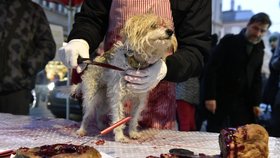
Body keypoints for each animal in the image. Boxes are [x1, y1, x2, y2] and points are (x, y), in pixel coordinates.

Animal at [74, 13, 178, 142]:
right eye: (153, 25)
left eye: (167, 26)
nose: (170, 31)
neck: (136, 64)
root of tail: (93, 62)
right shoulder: (117, 97)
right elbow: (118, 119)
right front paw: (120, 136)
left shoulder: (139, 99)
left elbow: (134, 118)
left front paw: (132, 133)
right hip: (91, 98)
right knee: (87, 115)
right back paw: (82, 130)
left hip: (106, 100)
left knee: (99, 113)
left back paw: (101, 126)